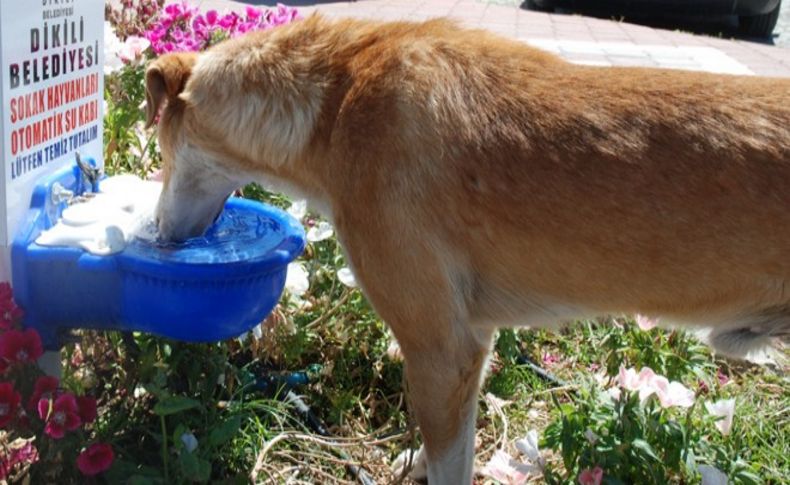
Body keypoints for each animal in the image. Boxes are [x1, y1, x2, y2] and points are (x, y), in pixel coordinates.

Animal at [147, 13, 790, 482]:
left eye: (160, 151)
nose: (157, 233)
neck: (336, 102)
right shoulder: (473, 346)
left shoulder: (441, 349)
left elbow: (449, 460)